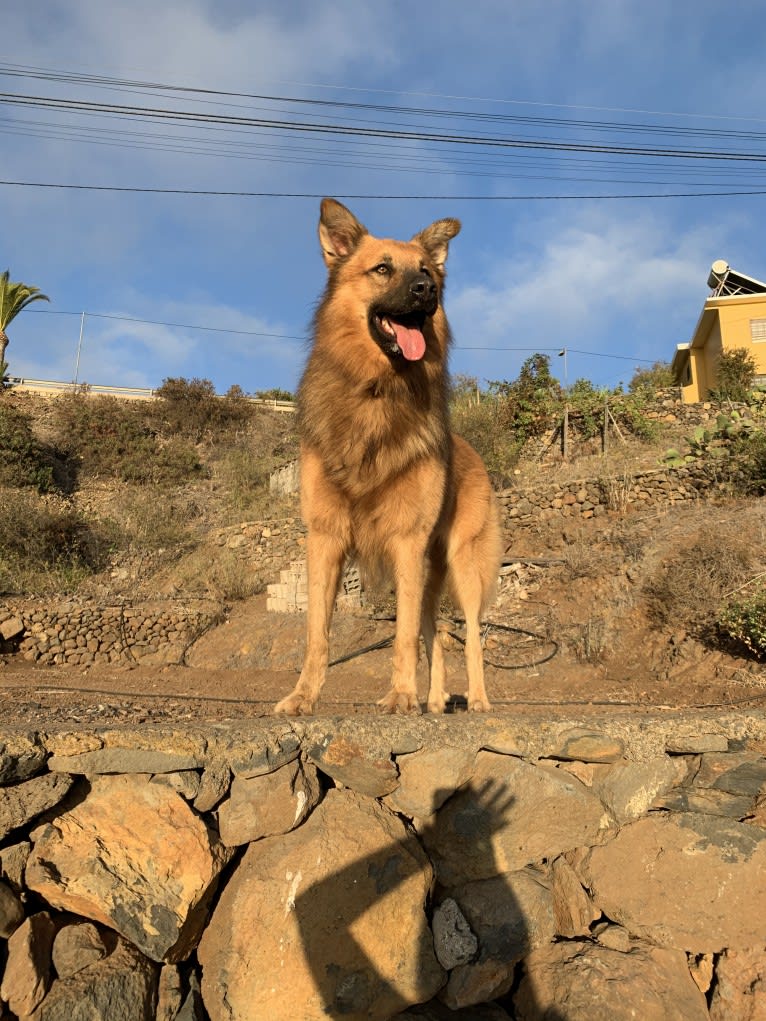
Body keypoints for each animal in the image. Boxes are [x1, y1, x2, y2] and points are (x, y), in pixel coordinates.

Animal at [275, 199, 504, 718]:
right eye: (382, 269)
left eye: (426, 271)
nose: (428, 291)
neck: (376, 392)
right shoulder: (325, 538)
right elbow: (318, 634)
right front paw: (303, 696)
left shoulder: (406, 541)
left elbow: (402, 637)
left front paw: (400, 695)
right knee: (436, 635)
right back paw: (435, 701)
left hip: (463, 566)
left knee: (470, 636)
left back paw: (477, 700)